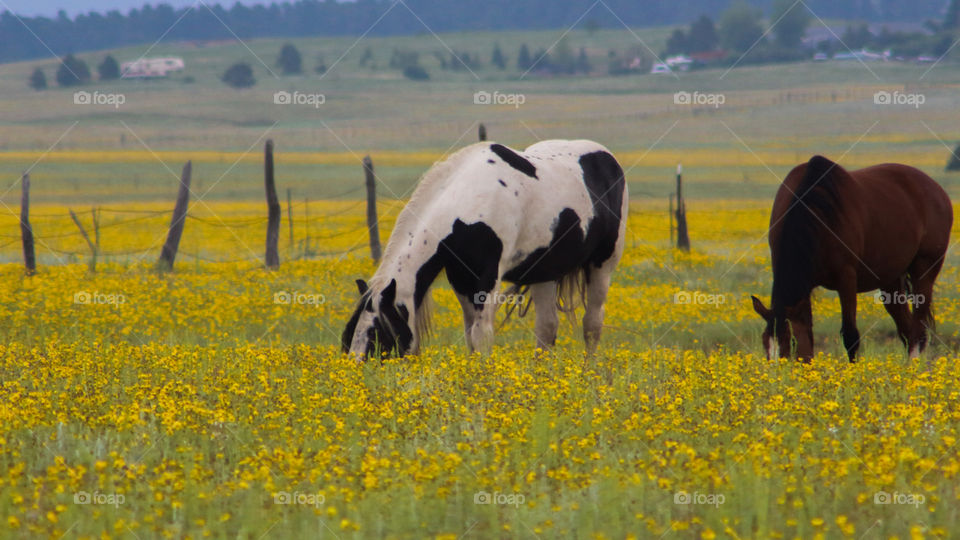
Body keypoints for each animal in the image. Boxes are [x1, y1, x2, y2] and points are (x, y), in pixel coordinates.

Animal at [342, 140, 628, 360]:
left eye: (378, 334)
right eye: (349, 334)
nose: (360, 371)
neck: (467, 205)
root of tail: (609, 159)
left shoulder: (487, 278)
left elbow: (482, 336)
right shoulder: (461, 279)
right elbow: (470, 334)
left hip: (602, 266)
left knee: (592, 324)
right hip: (544, 273)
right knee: (547, 329)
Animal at [751, 155, 952, 362]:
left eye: (792, 341)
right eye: (765, 343)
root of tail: (937, 190)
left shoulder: (846, 279)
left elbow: (850, 335)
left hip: (924, 269)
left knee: (918, 328)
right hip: (891, 280)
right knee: (906, 328)